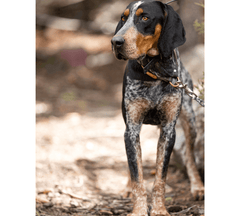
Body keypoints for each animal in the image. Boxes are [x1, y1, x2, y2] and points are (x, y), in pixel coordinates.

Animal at [111, 0, 204, 215]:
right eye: (123, 18)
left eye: (145, 18)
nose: (115, 41)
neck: (155, 71)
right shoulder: (132, 128)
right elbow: (137, 176)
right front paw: (138, 209)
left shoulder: (169, 130)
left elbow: (161, 177)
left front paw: (159, 209)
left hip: (190, 121)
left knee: (189, 155)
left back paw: (197, 186)